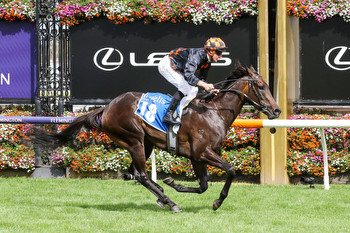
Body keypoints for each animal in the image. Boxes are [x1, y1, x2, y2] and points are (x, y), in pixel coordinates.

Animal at [30, 62, 282, 212]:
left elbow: (203, 185)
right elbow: (230, 170)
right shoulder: (202, 152)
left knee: (134, 174)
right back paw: (169, 202)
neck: (214, 112)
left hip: (146, 143)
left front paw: (172, 183)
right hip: (134, 140)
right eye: (261, 86)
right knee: (141, 175)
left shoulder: (196, 156)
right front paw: (217, 202)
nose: (277, 110)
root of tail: (107, 107)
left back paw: (162, 195)